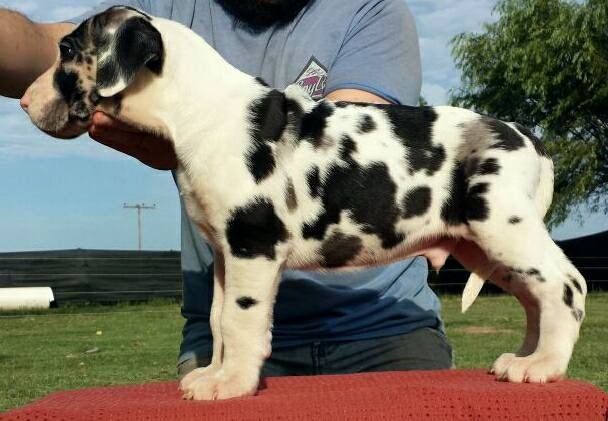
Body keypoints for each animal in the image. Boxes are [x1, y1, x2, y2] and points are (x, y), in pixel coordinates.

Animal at [22, 6, 587, 400]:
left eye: (67, 49)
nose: (25, 101)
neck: (202, 110)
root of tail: (528, 138)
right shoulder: (227, 254)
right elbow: (218, 320)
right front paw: (214, 373)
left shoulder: (253, 246)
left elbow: (241, 322)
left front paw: (233, 384)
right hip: (485, 247)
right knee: (536, 298)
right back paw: (524, 359)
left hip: (505, 228)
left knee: (566, 285)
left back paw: (544, 367)